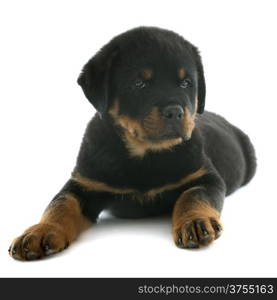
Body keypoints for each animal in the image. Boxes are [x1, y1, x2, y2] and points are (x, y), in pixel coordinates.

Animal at [9, 26, 254, 260]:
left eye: (186, 83)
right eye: (139, 84)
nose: (175, 112)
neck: (145, 155)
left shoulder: (205, 177)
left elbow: (193, 197)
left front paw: (194, 222)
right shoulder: (83, 184)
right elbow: (60, 205)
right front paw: (39, 232)